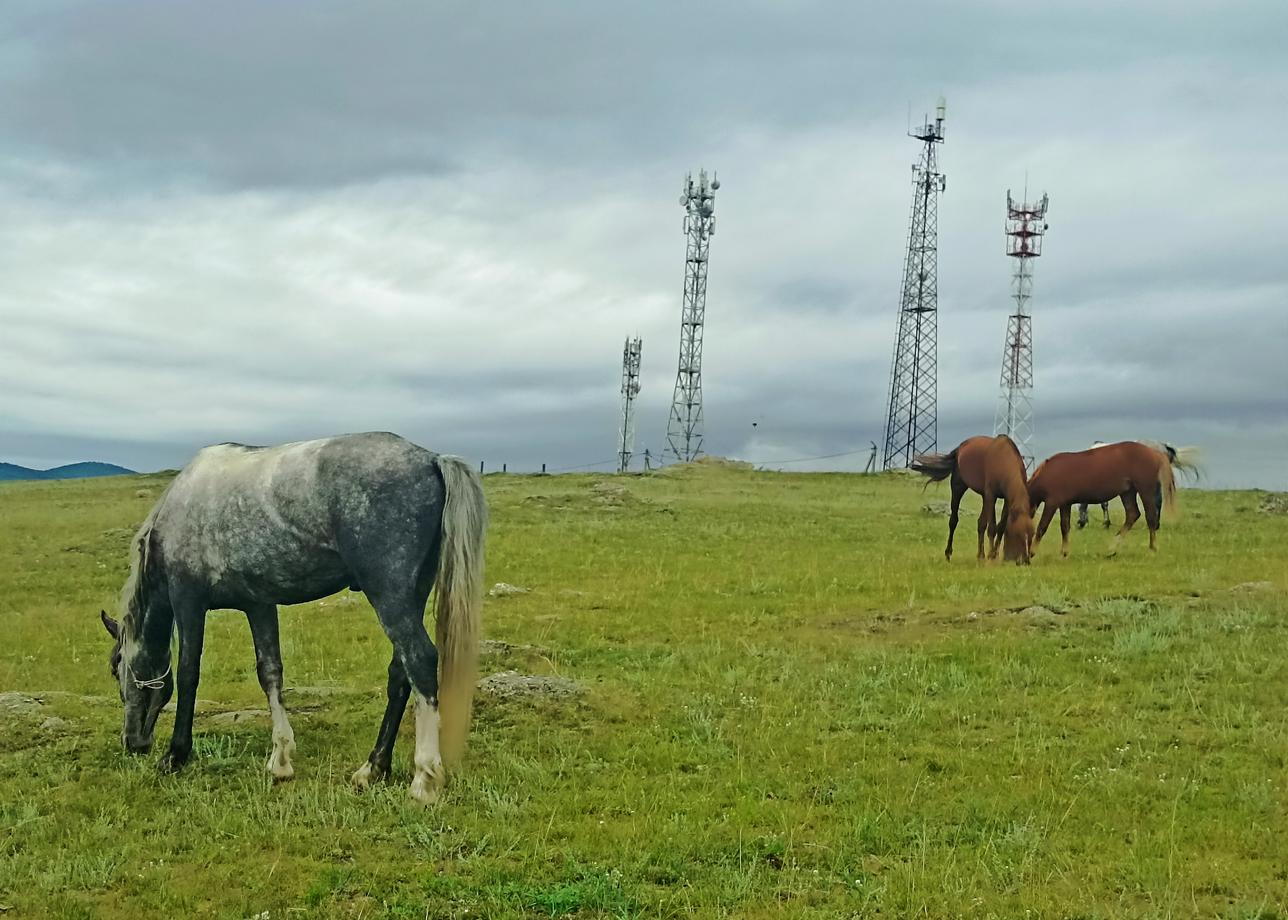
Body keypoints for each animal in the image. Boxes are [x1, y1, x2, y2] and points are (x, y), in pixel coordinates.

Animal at [96, 430, 486, 804]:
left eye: (117, 669)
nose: (133, 743)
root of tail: (432, 459)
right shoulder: (258, 605)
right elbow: (270, 673)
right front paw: (280, 760)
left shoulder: (188, 601)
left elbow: (188, 674)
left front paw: (176, 755)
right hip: (412, 596)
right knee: (400, 673)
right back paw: (373, 768)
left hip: (391, 597)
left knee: (420, 660)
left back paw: (424, 779)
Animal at [906, 432, 1035, 561]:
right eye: (1018, 534)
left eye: (1032, 534)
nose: (1025, 560)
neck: (1004, 461)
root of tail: (959, 448)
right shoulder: (991, 496)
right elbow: (992, 527)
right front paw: (991, 556)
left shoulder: (1007, 500)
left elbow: (1001, 527)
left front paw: (994, 555)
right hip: (958, 487)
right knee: (953, 520)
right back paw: (948, 553)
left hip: (984, 497)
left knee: (981, 523)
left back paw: (980, 556)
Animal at [1025, 438, 1195, 556]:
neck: (1049, 473)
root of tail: (1156, 452)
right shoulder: (1064, 504)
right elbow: (1064, 527)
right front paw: (1064, 552)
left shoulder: (1052, 503)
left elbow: (1042, 527)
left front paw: (1032, 552)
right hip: (1128, 493)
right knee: (1133, 514)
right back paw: (1112, 548)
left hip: (1145, 490)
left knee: (1150, 517)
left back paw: (1152, 548)